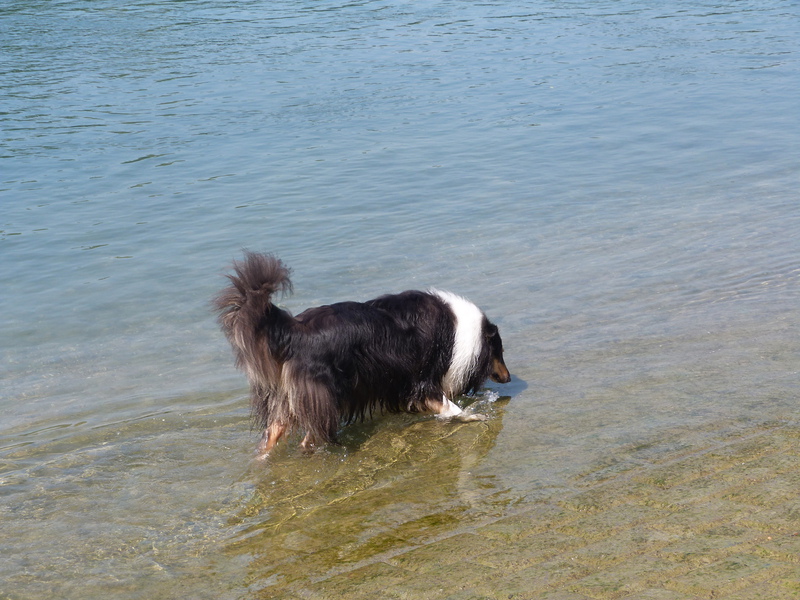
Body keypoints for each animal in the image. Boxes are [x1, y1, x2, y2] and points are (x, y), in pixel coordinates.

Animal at [214, 251, 510, 456]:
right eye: (500, 351)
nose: (508, 378)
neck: (459, 330)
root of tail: (295, 331)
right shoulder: (422, 380)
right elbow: (449, 407)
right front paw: (475, 416)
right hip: (325, 396)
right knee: (308, 439)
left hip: (288, 399)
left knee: (271, 435)